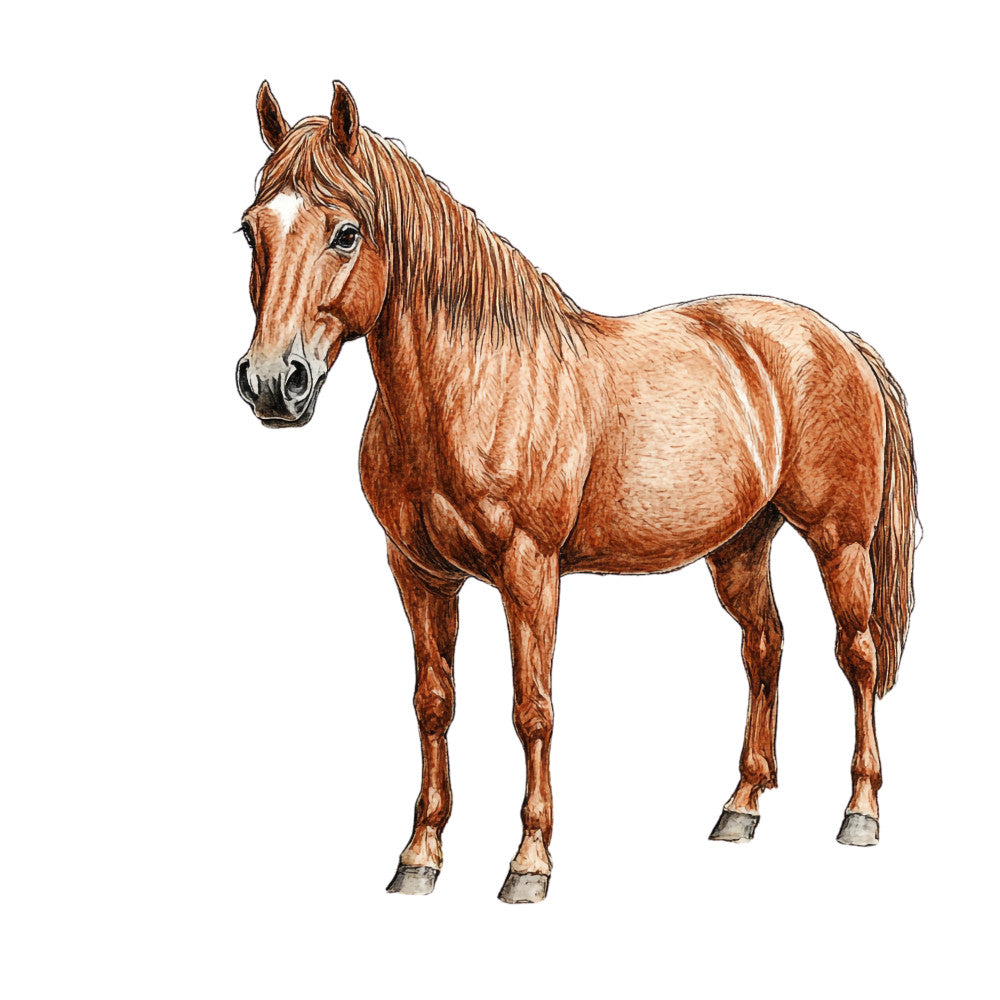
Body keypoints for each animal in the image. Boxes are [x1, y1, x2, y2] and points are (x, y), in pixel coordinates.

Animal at [235, 81, 917, 903]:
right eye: (250, 233)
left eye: (345, 232)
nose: (273, 382)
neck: (472, 386)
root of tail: (840, 340)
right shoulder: (420, 575)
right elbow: (433, 705)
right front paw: (420, 855)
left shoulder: (530, 573)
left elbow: (533, 711)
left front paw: (529, 863)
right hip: (740, 547)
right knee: (764, 648)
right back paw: (741, 806)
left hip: (839, 542)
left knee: (857, 657)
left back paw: (861, 811)